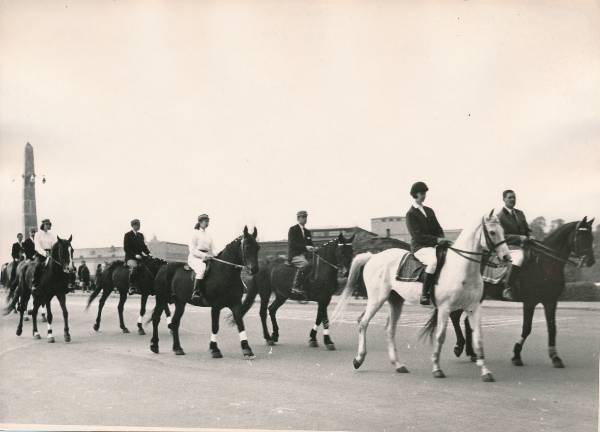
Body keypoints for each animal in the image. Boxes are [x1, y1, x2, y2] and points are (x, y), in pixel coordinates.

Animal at [149, 226, 258, 358]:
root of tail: (163, 267)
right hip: (161, 298)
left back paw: (178, 348)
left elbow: (240, 324)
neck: (225, 273)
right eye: (247, 247)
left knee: (175, 322)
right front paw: (214, 349)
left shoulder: (236, 304)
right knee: (156, 318)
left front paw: (247, 348)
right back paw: (154, 345)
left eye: (258, 247)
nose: (254, 269)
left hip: (180, 302)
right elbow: (215, 327)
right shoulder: (216, 306)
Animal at [332, 210, 510, 382]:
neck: (462, 269)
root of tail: (373, 256)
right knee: (363, 322)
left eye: (503, 231)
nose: (507, 257)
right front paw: (437, 368)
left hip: (395, 301)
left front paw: (486, 372)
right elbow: (440, 337)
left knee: (389, 329)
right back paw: (358, 359)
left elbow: (479, 339)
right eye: (492, 232)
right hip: (377, 299)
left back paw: (398, 364)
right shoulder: (445, 308)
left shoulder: (473, 308)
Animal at [450, 218, 596, 366]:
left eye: (591, 237)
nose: (591, 260)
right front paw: (516, 354)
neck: (544, 264)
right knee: (455, 316)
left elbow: (552, 328)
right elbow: (526, 328)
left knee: (466, 321)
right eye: (581, 236)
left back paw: (472, 353)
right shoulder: (529, 302)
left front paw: (555, 357)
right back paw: (459, 347)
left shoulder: (550, 301)